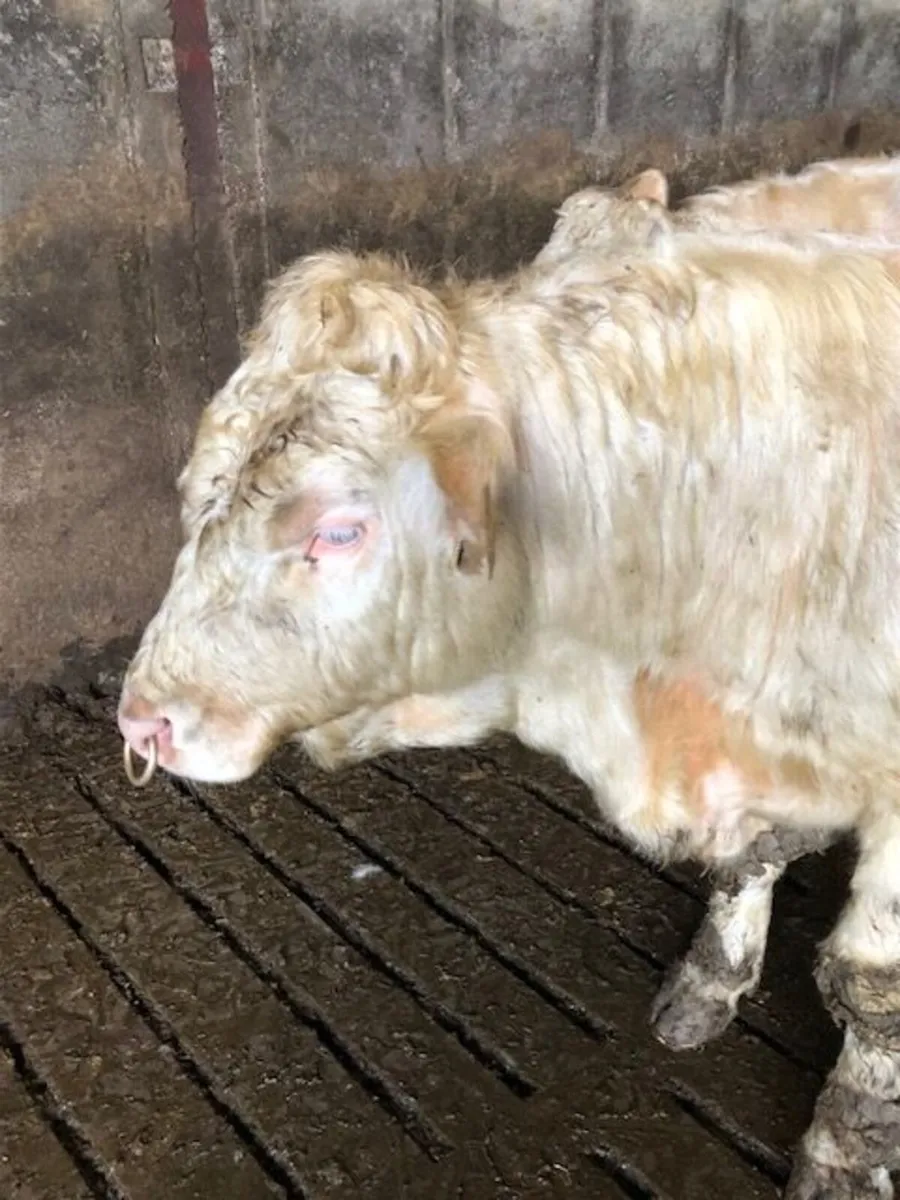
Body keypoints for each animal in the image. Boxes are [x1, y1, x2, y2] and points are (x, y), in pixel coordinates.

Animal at [119, 231, 900, 1198]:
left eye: (337, 531)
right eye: (201, 493)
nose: (140, 722)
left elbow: (872, 987)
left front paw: (846, 1152)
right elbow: (754, 856)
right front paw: (708, 987)